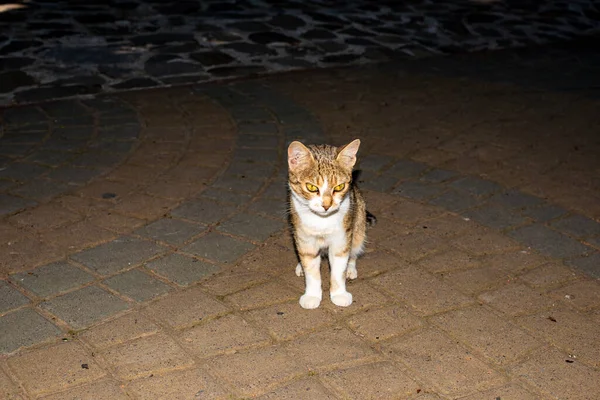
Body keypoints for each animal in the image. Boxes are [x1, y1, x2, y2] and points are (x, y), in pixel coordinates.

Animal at [286, 139, 376, 310]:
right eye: (311, 187)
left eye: (339, 187)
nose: (326, 205)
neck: (322, 221)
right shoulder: (305, 238)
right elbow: (311, 270)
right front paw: (312, 295)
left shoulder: (341, 238)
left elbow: (338, 269)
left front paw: (339, 294)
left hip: (359, 222)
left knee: (354, 248)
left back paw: (350, 268)